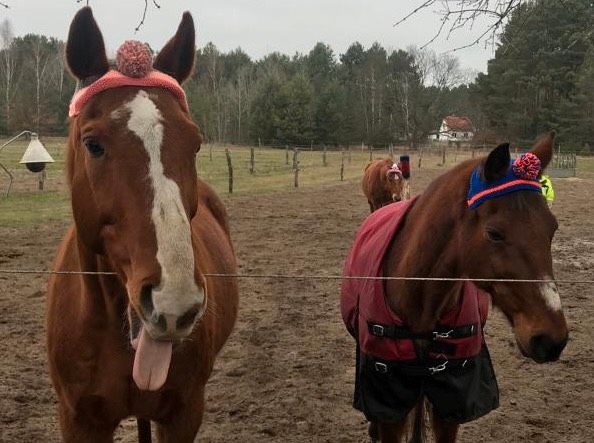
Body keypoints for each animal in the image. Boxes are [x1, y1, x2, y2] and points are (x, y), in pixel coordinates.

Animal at [338, 133, 564, 443]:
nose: (552, 338)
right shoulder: (390, 399)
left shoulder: (451, 397)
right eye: (494, 234)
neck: (419, 296)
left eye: (552, 229)